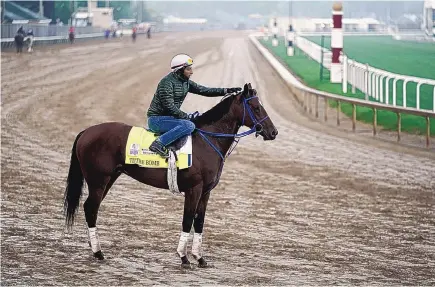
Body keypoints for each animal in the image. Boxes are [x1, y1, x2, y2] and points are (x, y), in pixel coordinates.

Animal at [64, 82, 280, 268]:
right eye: (256, 107)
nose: (273, 132)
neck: (207, 141)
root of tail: (86, 132)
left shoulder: (206, 192)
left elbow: (199, 221)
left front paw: (199, 258)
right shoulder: (194, 189)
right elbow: (187, 219)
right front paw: (183, 257)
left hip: (109, 178)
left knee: (91, 207)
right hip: (98, 180)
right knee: (91, 208)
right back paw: (98, 252)